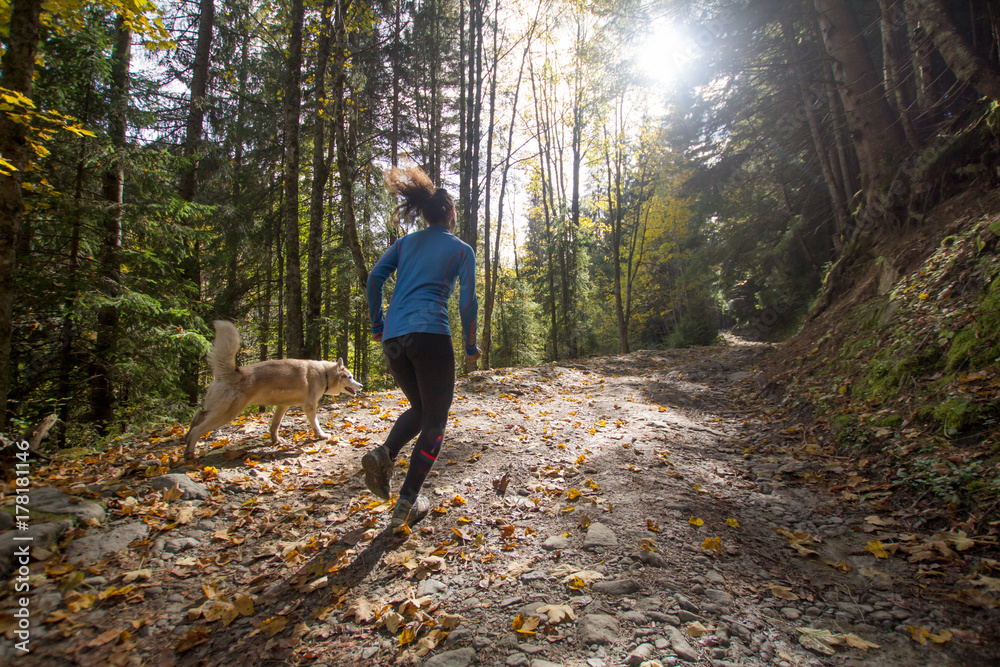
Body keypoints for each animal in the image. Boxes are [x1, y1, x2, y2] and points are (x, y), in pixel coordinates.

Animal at [185, 322, 364, 460]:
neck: (324, 373)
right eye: (349, 377)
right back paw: (189, 453)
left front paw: (276, 441)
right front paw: (321, 435)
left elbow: (274, 425)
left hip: (219, 409)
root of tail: (233, 371)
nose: (361, 386)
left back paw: (186, 440)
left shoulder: (283, 406)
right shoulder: (309, 406)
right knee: (197, 429)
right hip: (228, 413)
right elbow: (315, 424)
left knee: (197, 415)